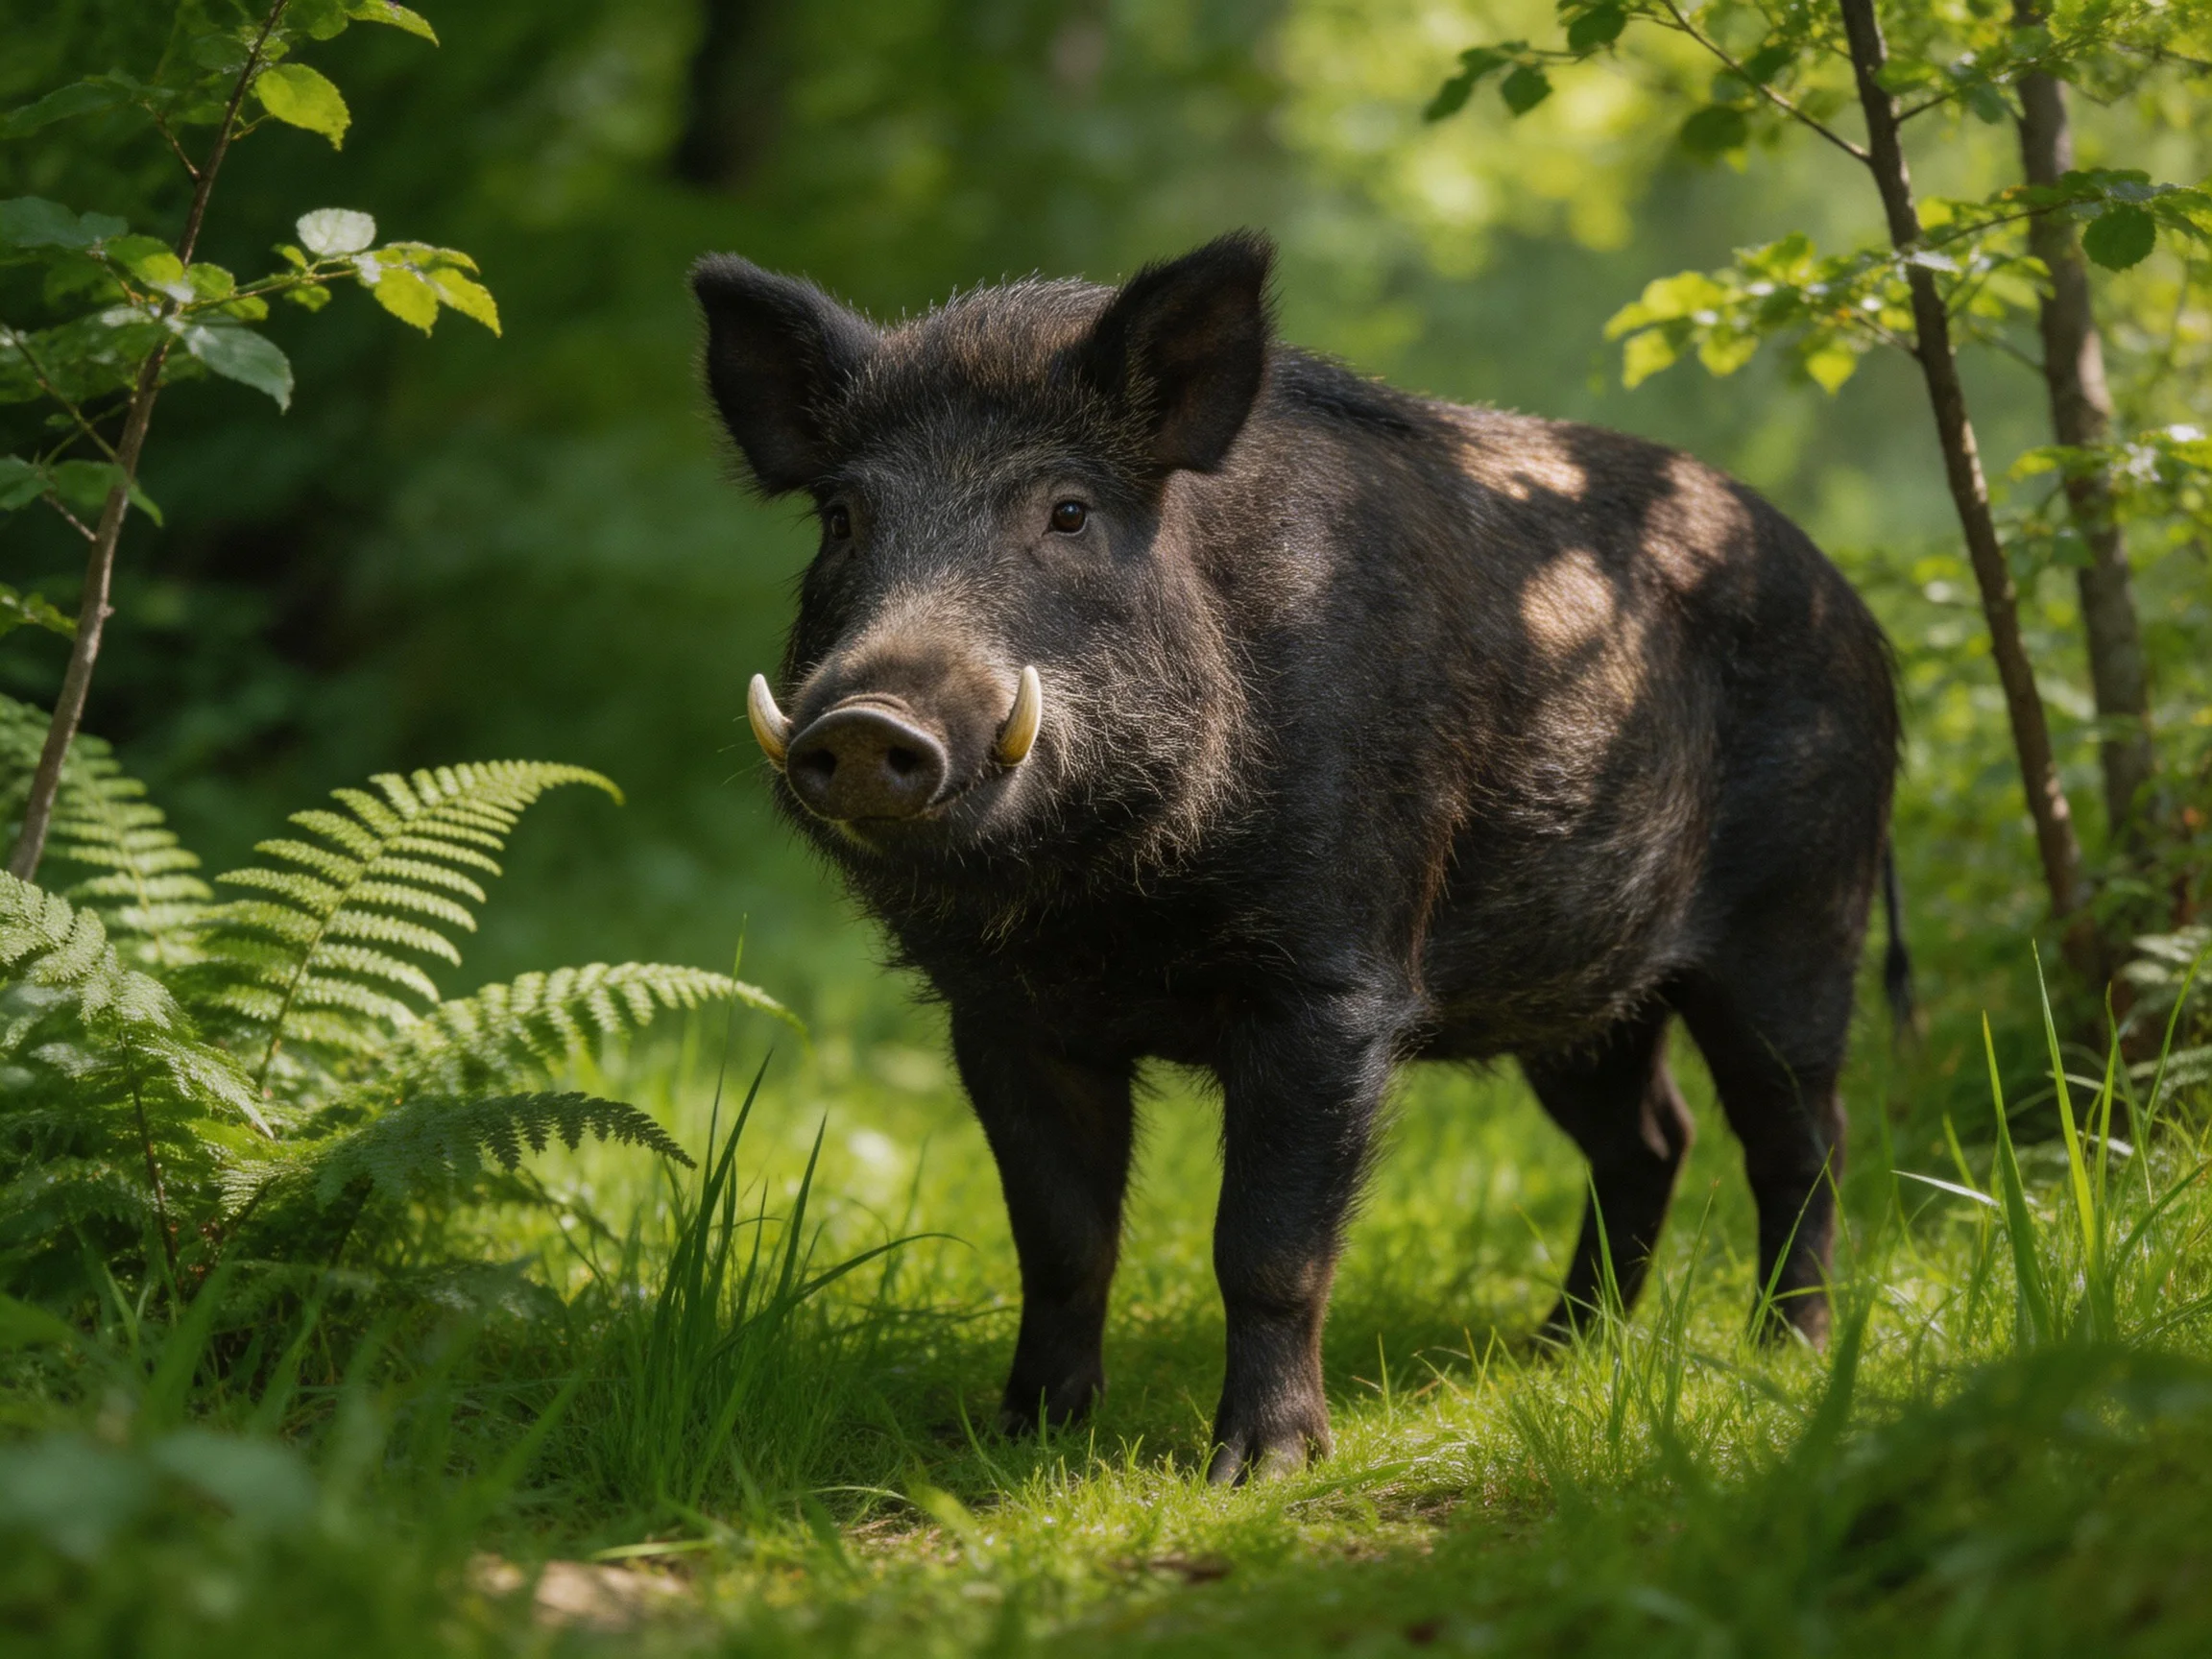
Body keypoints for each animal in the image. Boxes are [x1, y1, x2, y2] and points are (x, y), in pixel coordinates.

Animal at [692, 231, 1904, 1483]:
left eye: (1068, 511)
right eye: (843, 518)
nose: (865, 719)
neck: (1101, 910)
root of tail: (1850, 604)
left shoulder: (1331, 983)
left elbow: (1266, 1246)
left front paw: (1260, 1468)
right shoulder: (1002, 1017)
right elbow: (1061, 1239)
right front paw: (1021, 1436)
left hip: (1804, 913)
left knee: (1800, 1133)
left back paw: (1787, 1351)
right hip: (1579, 988)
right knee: (1652, 1136)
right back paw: (1560, 1347)